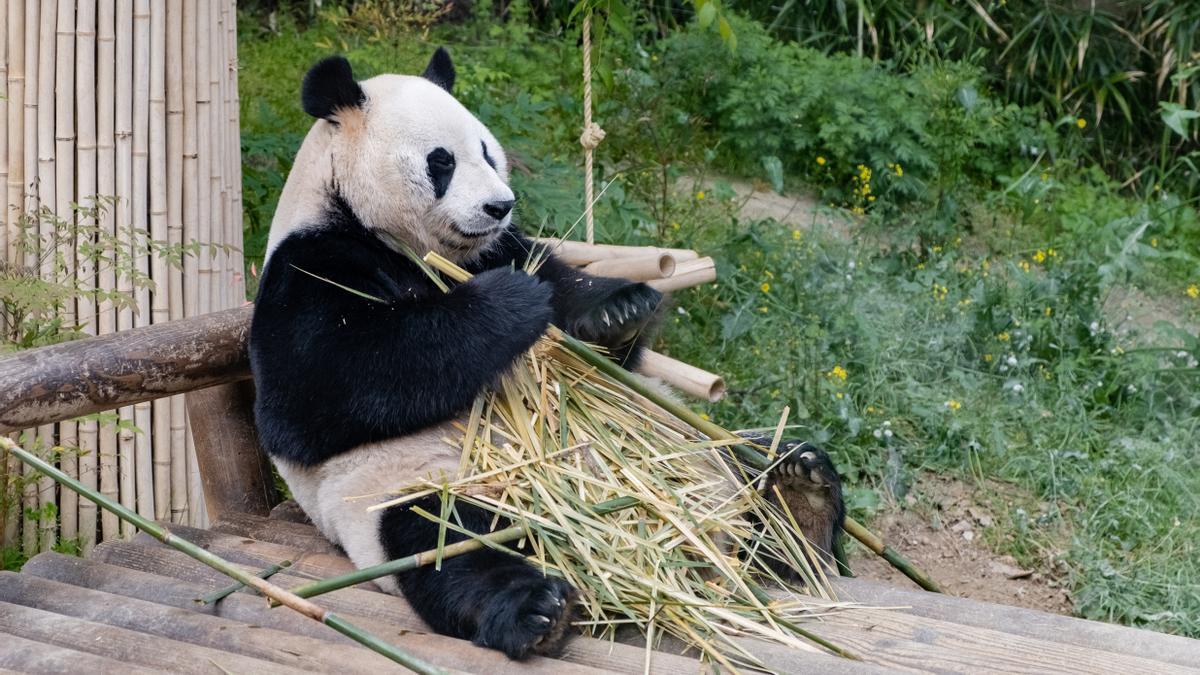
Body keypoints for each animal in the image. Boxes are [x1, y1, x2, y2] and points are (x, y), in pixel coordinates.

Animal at [249, 51, 844, 658]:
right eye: (441, 162)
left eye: (487, 152)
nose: (499, 205)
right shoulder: (312, 265)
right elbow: (316, 393)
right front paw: (511, 302)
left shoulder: (506, 245)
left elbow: (569, 291)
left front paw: (620, 311)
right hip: (418, 487)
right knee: (451, 543)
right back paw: (537, 610)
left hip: (694, 447)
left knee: (751, 463)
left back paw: (800, 498)